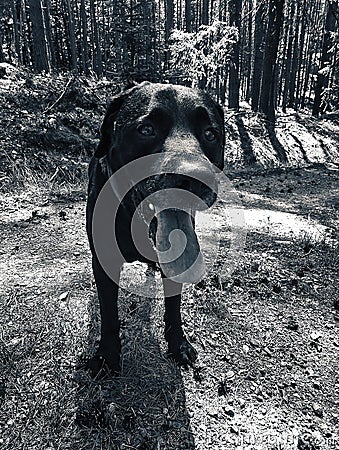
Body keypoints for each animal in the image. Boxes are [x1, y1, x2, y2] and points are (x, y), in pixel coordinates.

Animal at [87, 81, 226, 376]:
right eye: (146, 129)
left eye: (210, 133)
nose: (194, 177)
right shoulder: (104, 260)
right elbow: (109, 313)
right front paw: (107, 356)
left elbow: (173, 306)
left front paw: (178, 344)